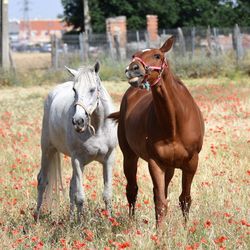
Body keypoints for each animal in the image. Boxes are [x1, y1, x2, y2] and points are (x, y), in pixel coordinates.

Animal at [34, 61, 117, 222]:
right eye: (74, 90)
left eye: (92, 89)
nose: (78, 121)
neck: (97, 129)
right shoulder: (77, 159)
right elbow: (80, 197)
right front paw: (80, 224)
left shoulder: (108, 159)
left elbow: (107, 195)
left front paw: (109, 222)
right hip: (47, 149)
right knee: (42, 181)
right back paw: (37, 218)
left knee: (71, 187)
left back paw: (71, 218)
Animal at [109, 36, 205, 227]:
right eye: (134, 55)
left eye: (157, 56)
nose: (133, 69)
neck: (174, 124)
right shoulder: (155, 163)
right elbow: (160, 202)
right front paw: (159, 232)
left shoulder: (191, 163)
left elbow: (185, 199)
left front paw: (185, 229)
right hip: (130, 156)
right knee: (132, 189)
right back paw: (131, 221)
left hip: (170, 167)